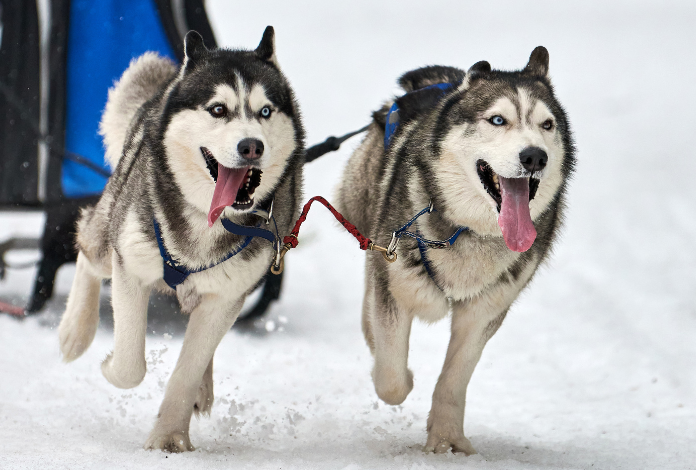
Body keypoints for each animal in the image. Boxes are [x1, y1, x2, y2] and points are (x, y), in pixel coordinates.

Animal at [55, 26, 304, 452]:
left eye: (265, 111)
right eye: (218, 110)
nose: (251, 145)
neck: (208, 221)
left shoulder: (226, 296)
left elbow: (188, 369)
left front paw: (170, 435)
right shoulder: (131, 268)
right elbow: (130, 366)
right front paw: (110, 364)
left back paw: (203, 386)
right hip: (110, 230)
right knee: (89, 248)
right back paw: (74, 332)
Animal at [338, 46, 576, 452]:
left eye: (547, 125)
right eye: (497, 120)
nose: (534, 156)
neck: (469, 231)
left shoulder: (484, 310)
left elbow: (454, 379)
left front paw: (447, 438)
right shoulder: (395, 283)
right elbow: (392, 379)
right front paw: (403, 377)